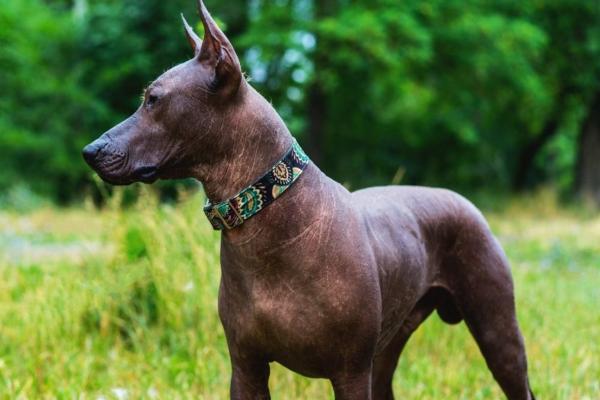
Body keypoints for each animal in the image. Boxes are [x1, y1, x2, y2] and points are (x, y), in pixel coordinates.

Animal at [82, 1, 536, 398]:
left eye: (153, 99)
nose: (90, 150)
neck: (268, 221)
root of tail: (463, 200)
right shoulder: (246, 369)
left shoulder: (349, 373)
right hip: (387, 352)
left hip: (498, 335)